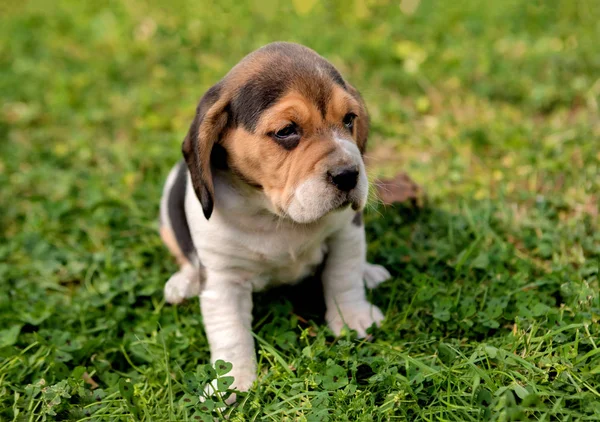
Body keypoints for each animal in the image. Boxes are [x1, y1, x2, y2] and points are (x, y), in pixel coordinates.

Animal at [159, 41, 392, 398]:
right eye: (286, 131)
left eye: (349, 119)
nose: (349, 174)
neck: (275, 215)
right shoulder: (223, 279)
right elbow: (230, 331)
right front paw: (232, 381)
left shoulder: (345, 235)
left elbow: (343, 279)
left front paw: (353, 318)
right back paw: (183, 282)